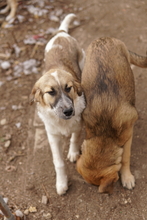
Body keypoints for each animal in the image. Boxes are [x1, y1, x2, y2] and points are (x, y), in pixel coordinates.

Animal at [29, 13, 85, 195]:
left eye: (68, 88)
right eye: (51, 92)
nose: (68, 111)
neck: (62, 121)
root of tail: (61, 34)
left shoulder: (78, 124)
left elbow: (74, 139)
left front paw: (73, 153)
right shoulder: (52, 136)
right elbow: (58, 162)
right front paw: (61, 183)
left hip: (82, 60)